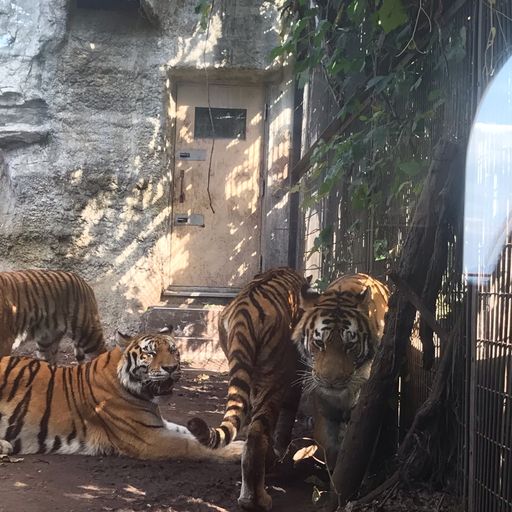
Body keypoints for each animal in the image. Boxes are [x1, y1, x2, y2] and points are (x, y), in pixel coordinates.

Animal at [0, 330, 243, 462]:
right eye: (150, 353)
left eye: (173, 350)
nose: (171, 368)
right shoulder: (149, 438)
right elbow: (192, 445)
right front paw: (238, 451)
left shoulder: (158, 424)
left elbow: (188, 432)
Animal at [187, 268, 310, 512]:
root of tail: (245, 311)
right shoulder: (294, 376)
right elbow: (286, 419)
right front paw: (281, 454)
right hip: (272, 377)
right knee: (257, 433)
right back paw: (257, 500)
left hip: (248, 373)